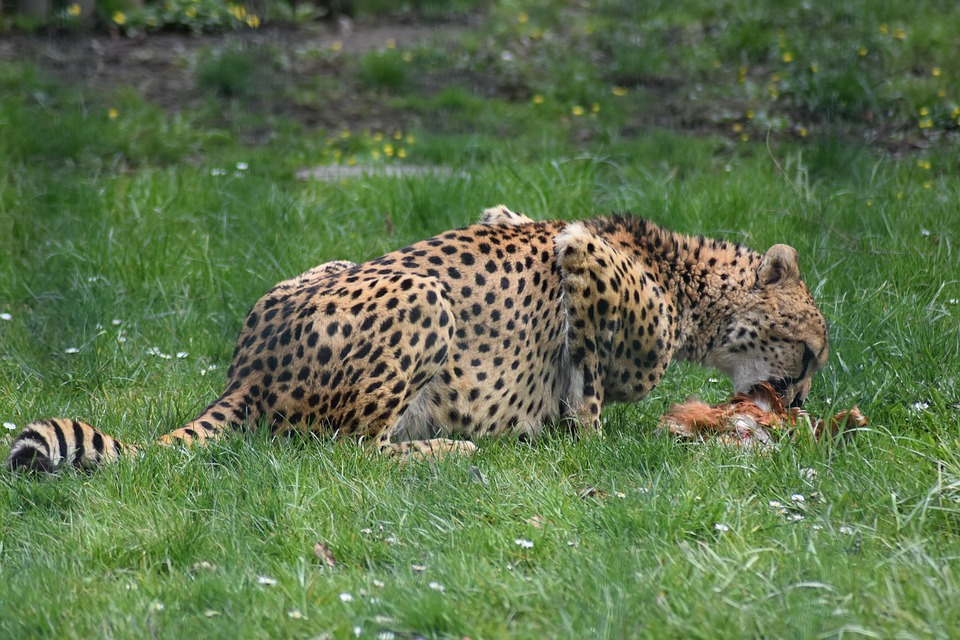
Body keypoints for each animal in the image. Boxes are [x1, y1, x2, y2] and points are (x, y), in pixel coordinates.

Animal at [5, 206, 829, 472]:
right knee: (340, 453)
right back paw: (450, 448)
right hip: (424, 296)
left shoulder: (509, 216)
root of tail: (247, 369)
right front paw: (588, 440)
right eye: (810, 353)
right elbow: (599, 376)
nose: (794, 400)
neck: (685, 274)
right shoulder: (581, 256)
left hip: (335, 267)